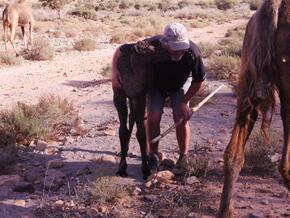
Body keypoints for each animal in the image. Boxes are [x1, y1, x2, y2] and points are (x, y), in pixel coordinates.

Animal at [112, 40, 169, 180]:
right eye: (151, 50)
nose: (168, 50)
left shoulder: (140, 96)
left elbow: (141, 134)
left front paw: (145, 170)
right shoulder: (119, 95)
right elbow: (122, 131)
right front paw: (121, 168)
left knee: (140, 119)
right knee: (132, 118)